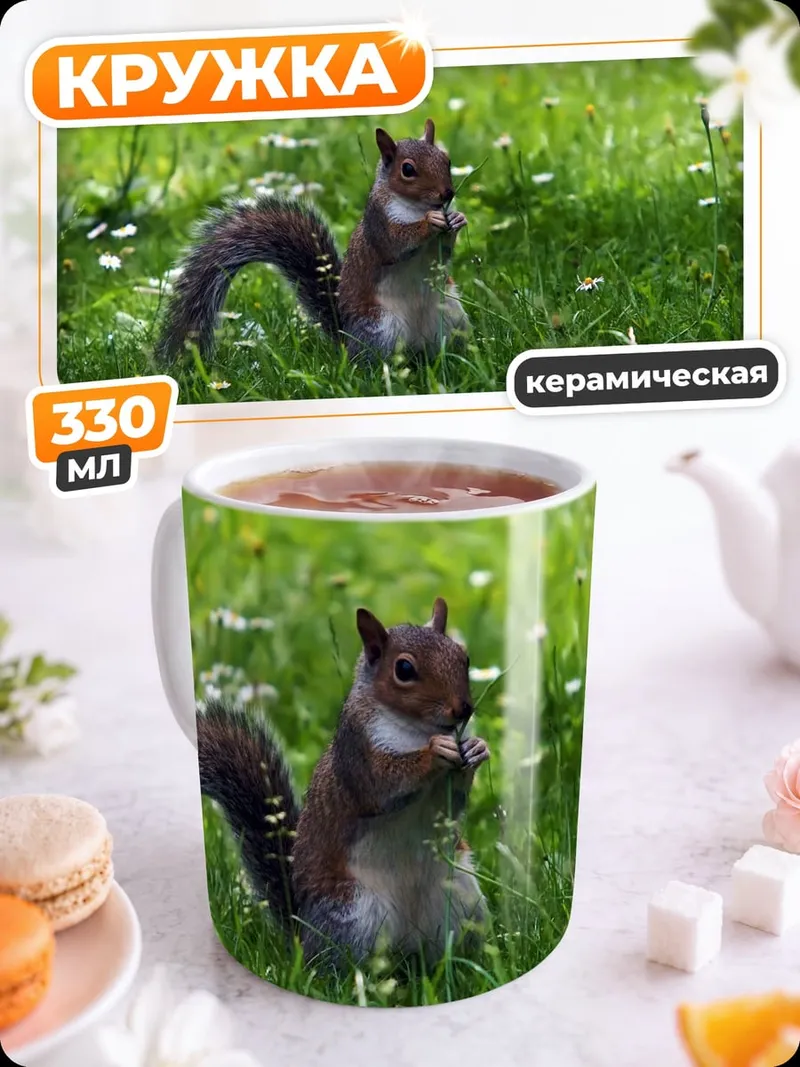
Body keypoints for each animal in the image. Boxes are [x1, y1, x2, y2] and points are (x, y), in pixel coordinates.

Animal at [156, 118, 470, 365]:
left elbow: (442, 254)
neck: (415, 206)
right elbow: (396, 243)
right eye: (407, 170)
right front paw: (430, 222)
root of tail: (346, 338)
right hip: (380, 329)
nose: (447, 194)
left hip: (452, 316)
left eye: (446, 160)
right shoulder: (378, 225)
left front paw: (456, 219)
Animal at [197, 597, 491, 970]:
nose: (463, 709)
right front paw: (433, 753)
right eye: (404, 669)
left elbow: (454, 801)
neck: (418, 729)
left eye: (463, 657)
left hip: (462, 896)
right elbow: (383, 784)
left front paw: (478, 748)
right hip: (351, 914)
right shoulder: (357, 755)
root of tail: (301, 930)